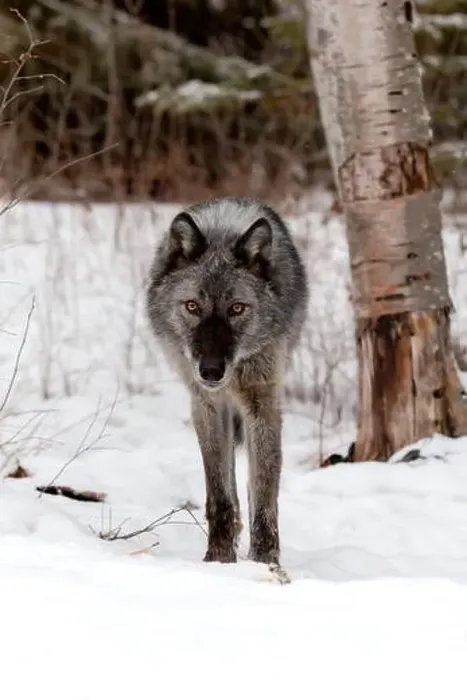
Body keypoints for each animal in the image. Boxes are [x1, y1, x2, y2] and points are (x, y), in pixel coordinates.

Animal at [146, 197, 308, 565]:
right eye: (193, 306)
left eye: (237, 308)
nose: (210, 371)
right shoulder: (207, 405)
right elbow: (220, 494)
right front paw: (219, 559)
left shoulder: (262, 402)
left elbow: (263, 492)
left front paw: (265, 562)